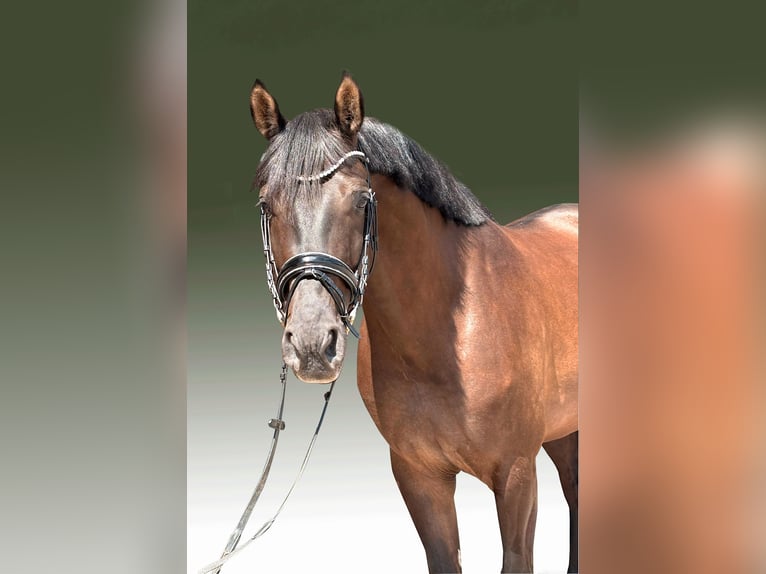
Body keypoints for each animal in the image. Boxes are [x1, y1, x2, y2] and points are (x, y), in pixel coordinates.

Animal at [249, 72, 578, 574]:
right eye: (267, 205)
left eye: (361, 201)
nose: (311, 344)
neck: (446, 337)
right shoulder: (419, 476)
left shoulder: (518, 474)